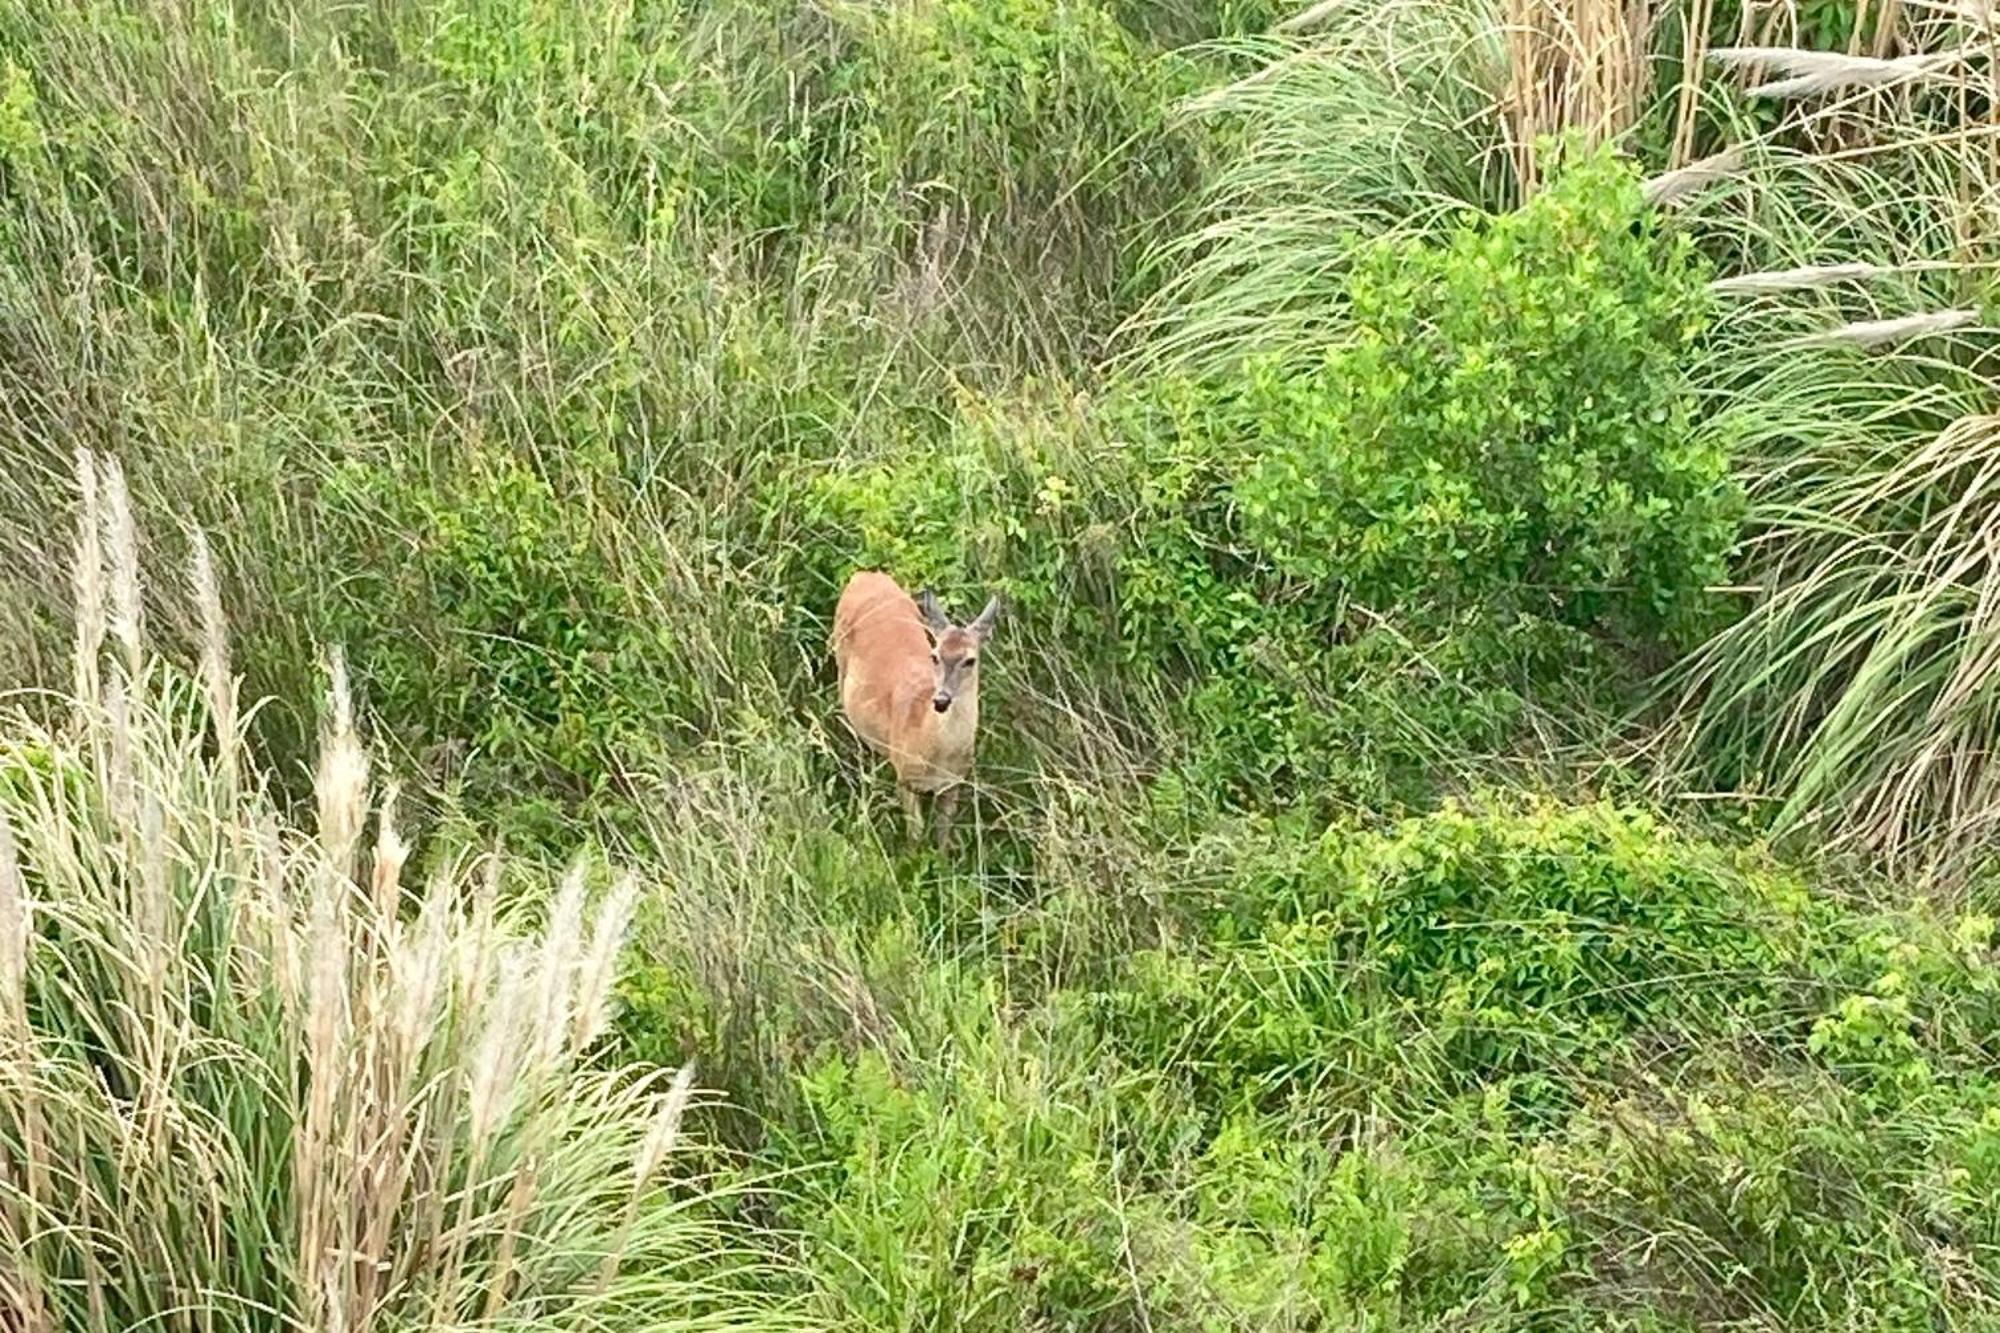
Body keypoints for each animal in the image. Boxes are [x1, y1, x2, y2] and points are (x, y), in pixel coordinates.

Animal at [828, 568, 1000, 840]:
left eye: (970, 660)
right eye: (935, 656)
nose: (941, 700)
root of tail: (864, 574)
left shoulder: (953, 783)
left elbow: (943, 836)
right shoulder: (906, 777)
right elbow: (915, 835)